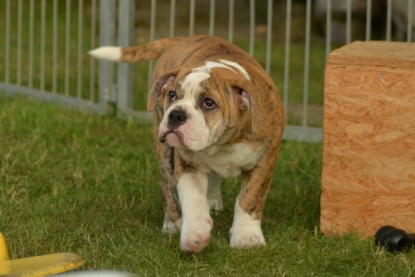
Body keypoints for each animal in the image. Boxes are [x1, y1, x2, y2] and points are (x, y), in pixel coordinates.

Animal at [90, 35, 286, 252]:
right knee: (168, 185)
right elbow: (193, 198)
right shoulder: (187, 165)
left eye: (209, 103)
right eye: (172, 95)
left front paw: (247, 236)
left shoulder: (264, 162)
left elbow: (249, 199)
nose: (176, 114)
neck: (222, 142)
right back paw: (173, 223)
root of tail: (184, 37)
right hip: (163, 147)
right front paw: (195, 232)